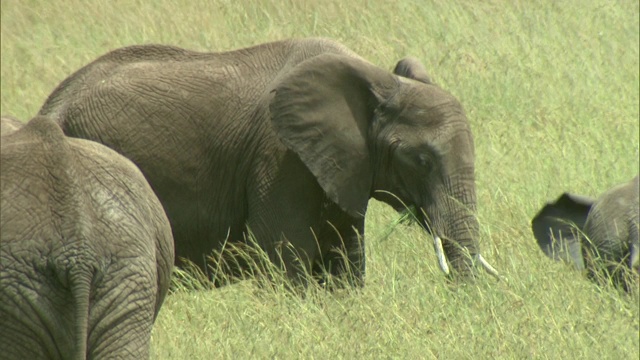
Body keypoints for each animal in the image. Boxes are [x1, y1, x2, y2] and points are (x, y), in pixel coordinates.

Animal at [38, 37, 500, 286]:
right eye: (418, 159)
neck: (375, 79)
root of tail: (50, 109)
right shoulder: (279, 159)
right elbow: (286, 262)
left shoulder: (338, 166)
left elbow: (345, 263)